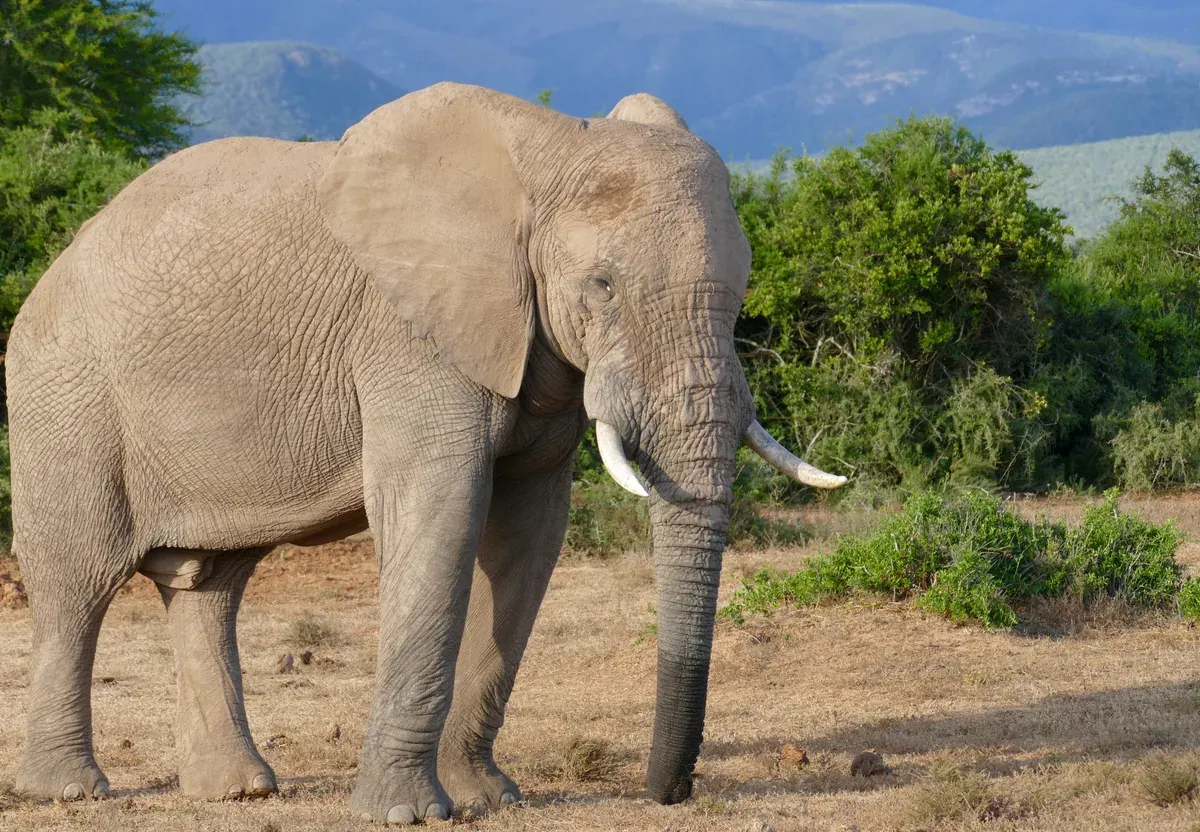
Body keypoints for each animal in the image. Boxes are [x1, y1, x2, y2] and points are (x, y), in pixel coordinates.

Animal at [7, 82, 846, 823]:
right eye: (602, 286)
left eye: (740, 295)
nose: (666, 794)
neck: (548, 150)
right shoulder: (408, 335)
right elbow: (438, 512)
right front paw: (405, 813)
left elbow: (528, 533)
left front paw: (487, 800)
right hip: (65, 395)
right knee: (78, 580)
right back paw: (70, 791)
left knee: (211, 584)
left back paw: (239, 791)